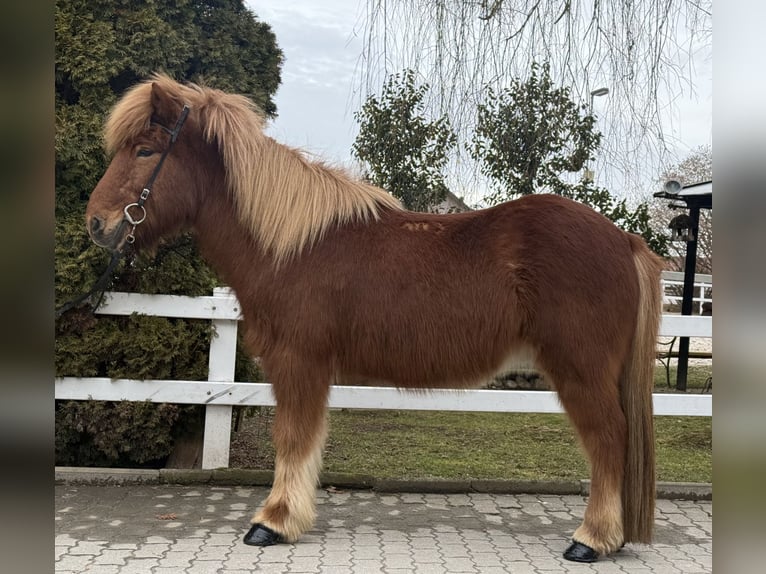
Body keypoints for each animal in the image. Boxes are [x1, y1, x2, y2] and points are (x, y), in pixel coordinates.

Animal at [84, 74, 662, 563]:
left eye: (145, 150)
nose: (96, 224)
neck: (292, 244)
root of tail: (624, 240)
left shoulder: (298, 361)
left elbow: (292, 437)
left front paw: (273, 522)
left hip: (580, 371)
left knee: (608, 439)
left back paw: (591, 539)